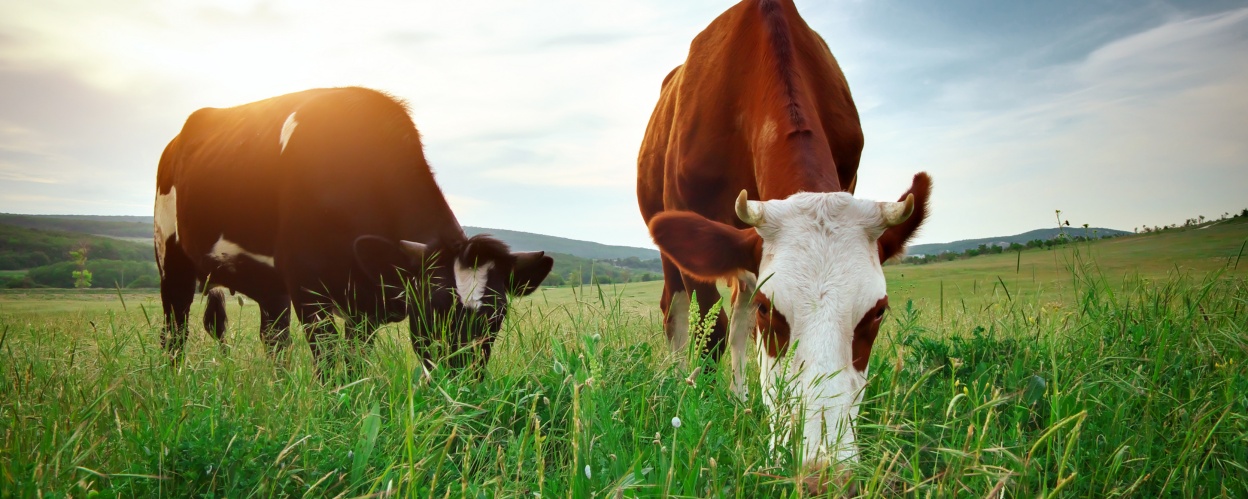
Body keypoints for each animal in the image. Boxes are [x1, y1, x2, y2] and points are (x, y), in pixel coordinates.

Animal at [155, 87, 553, 376]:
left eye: (496, 317)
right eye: (432, 309)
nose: (461, 384)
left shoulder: (365, 306)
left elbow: (354, 363)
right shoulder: (307, 286)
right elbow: (330, 363)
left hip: (270, 287)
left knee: (274, 339)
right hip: (170, 256)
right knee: (174, 330)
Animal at [636, 0, 931, 486]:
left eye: (877, 313)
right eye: (770, 310)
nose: (822, 475)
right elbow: (710, 332)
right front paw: (700, 408)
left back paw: (741, 400)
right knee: (677, 310)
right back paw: (681, 382)